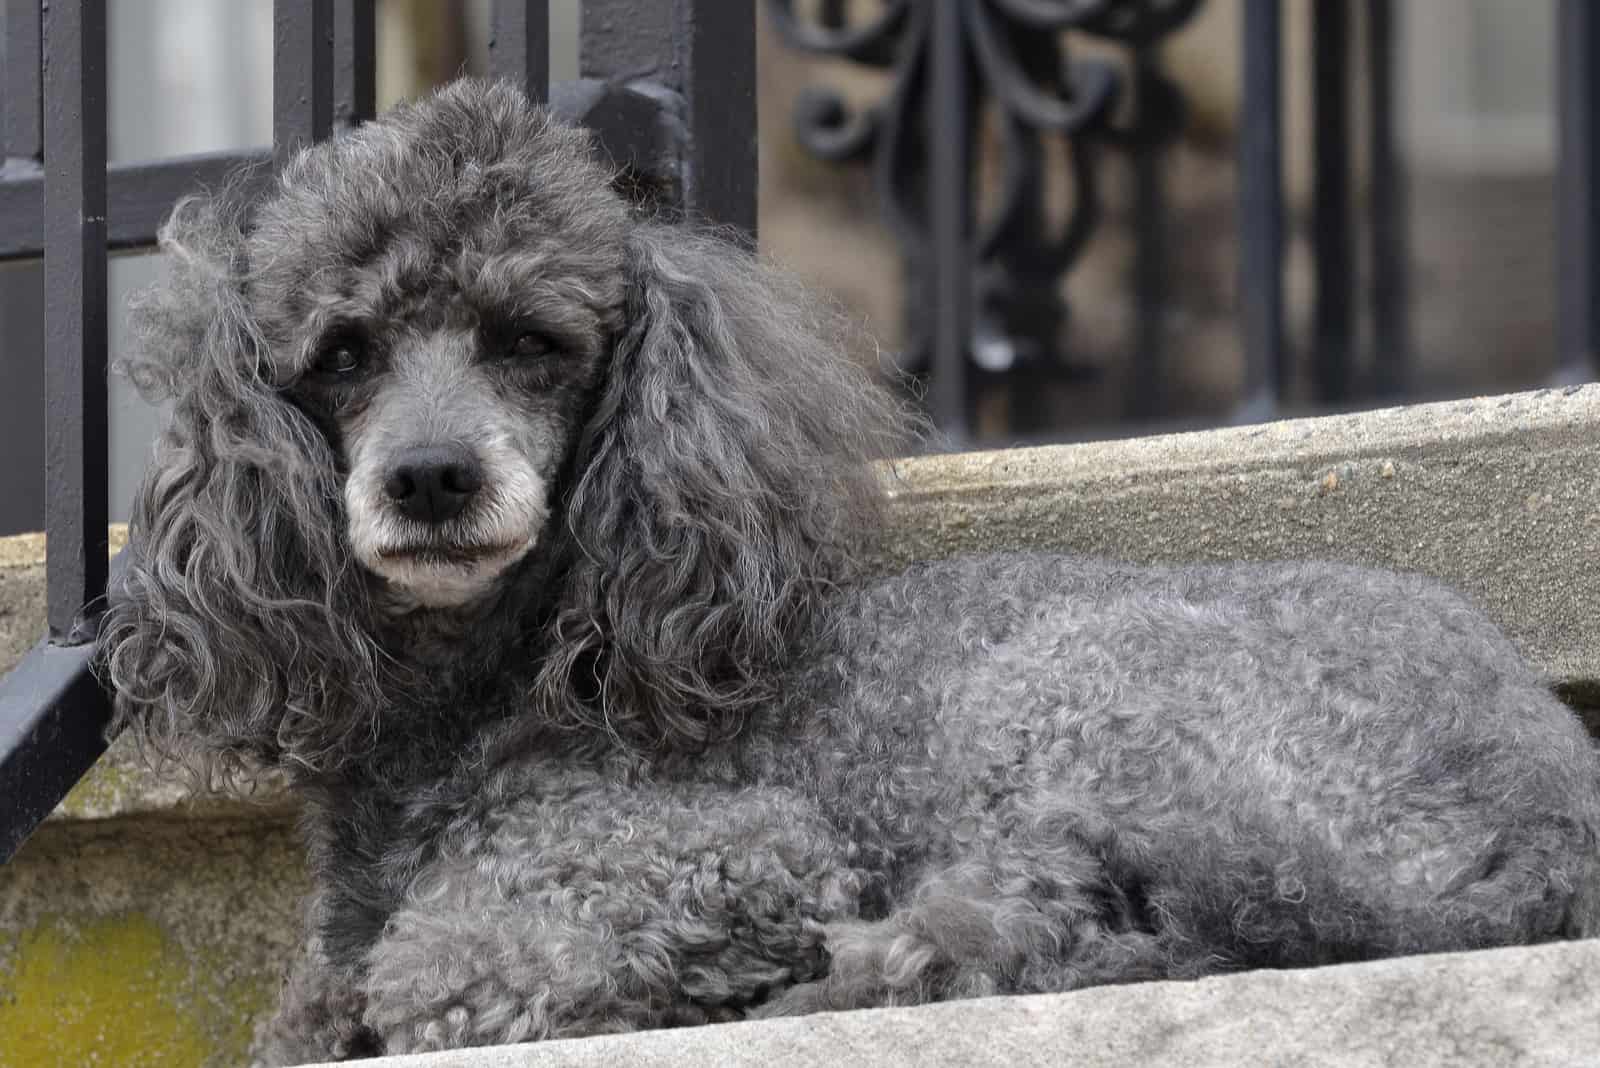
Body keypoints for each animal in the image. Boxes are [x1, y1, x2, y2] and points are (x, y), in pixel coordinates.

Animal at [100, 81, 1600, 1061]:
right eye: (343, 352)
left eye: (532, 340)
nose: (428, 479)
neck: (494, 686)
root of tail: (1550, 818)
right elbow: (313, 1008)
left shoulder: (729, 851)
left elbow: (438, 976)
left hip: (1071, 699)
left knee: (1040, 921)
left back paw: (846, 982)